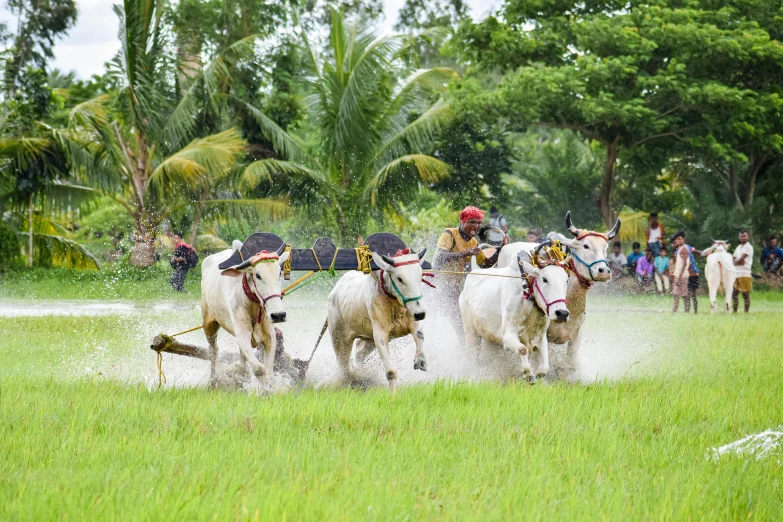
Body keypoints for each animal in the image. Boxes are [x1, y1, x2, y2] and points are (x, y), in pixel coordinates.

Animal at [201, 242, 290, 392]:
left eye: (279, 273)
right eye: (258, 275)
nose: (278, 315)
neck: (252, 303)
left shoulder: (270, 336)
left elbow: (268, 370)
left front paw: (268, 389)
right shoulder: (242, 334)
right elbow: (259, 369)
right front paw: (264, 392)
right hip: (208, 323)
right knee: (213, 351)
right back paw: (213, 382)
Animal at [330, 248, 432, 390]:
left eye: (420, 276)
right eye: (400, 278)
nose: (420, 314)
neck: (394, 304)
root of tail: (334, 292)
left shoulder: (413, 320)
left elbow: (420, 334)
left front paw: (420, 360)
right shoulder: (380, 334)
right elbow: (390, 372)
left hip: (368, 340)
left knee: (359, 354)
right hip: (339, 339)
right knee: (343, 366)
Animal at [460, 241, 568, 382]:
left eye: (566, 280)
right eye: (544, 279)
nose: (562, 313)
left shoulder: (541, 337)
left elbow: (544, 367)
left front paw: (537, 375)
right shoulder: (508, 335)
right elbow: (523, 350)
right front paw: (528, 373)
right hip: (470, 331)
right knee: (472, 357)